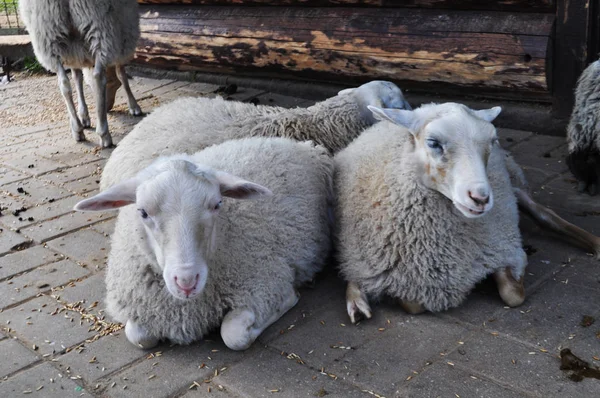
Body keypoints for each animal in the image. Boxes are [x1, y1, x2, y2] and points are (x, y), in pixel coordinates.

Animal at [19, 0, 143, 148]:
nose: (107, 107)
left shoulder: (73, 52)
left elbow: (77, 78)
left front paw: (84, 116)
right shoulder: (123, 33)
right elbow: (121, 74)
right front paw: (134, 106)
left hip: (47, 33)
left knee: (64, 83)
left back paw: (77, 129)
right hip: (101, 26)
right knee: (98, 76)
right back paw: (104, 134)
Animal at [75, 138, 332, 352]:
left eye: (217, 204)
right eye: (143, 212)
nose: (187, 281)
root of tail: (300, 143)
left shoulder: (264, 282)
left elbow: (234, 335)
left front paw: (287, 300)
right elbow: (138, 335)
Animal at [332, 101, 600, 322]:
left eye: (492, 141)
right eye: (433, 143)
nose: (480, 198)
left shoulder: (502, 247)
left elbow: (513, 295)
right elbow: (412, 304)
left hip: (512, 191)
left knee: (543, 214)